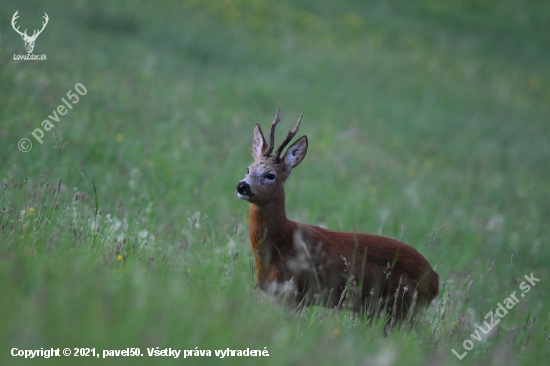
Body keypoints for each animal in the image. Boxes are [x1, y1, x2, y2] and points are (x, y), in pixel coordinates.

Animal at [237, 108, 440, 324]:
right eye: (248, 168)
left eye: (270, 175)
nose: (242, 186)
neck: (281, 242)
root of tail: (436, 280)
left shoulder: (297, 290)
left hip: (401, 307)